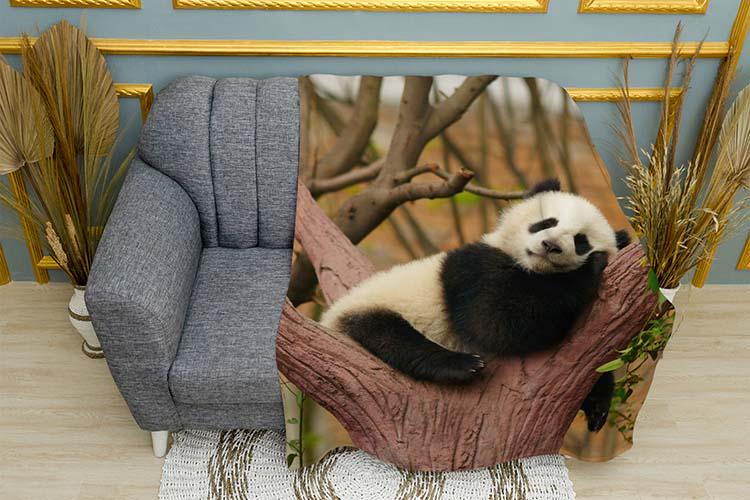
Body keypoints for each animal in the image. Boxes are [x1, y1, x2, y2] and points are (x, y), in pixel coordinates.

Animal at [320, 179, 631, 431]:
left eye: (580, 241)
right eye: (547, 222)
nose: (550, 245)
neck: (531, 269)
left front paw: (598, 403)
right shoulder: (471, 270)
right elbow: (495, 321)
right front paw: (589, 269)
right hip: (373, 307)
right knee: (391, 336)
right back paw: (461, 364)